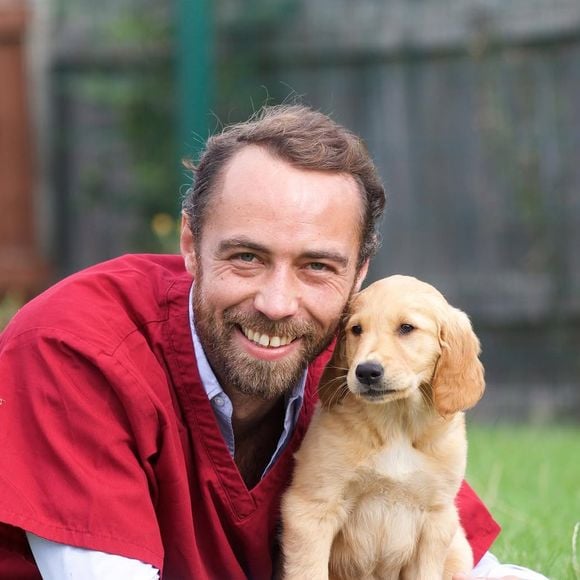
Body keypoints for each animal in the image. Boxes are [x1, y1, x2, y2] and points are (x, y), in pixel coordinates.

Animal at [280, 274, 484, 576]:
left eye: (407, 328)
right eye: (356, 329)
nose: (366, 372)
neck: (396, 423)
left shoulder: (437, 518)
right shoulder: (313, 507)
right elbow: (309, 572)